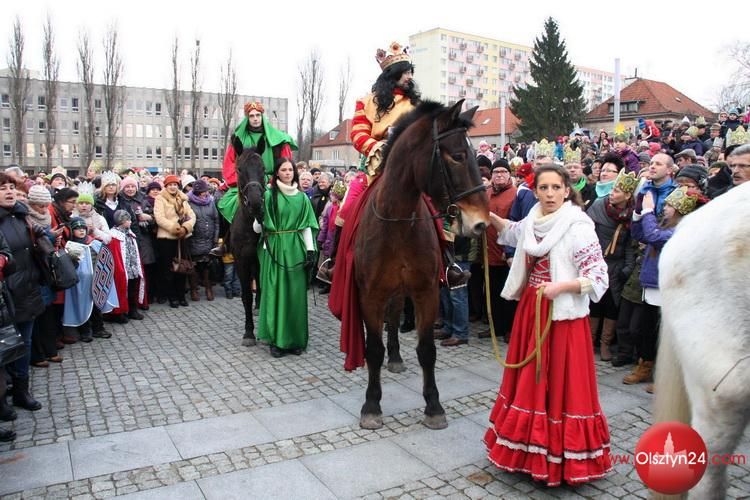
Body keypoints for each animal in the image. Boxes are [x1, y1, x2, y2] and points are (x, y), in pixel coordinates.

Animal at [354, 99, 490, 430]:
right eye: (458, 156)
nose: (481, 222)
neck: (399, 221)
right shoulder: (370, 294)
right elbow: (372, 349)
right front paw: (371, 405)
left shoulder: (426, 291)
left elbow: (427, 350)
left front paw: (434, 407)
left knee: (393, 318)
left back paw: (396, 358)